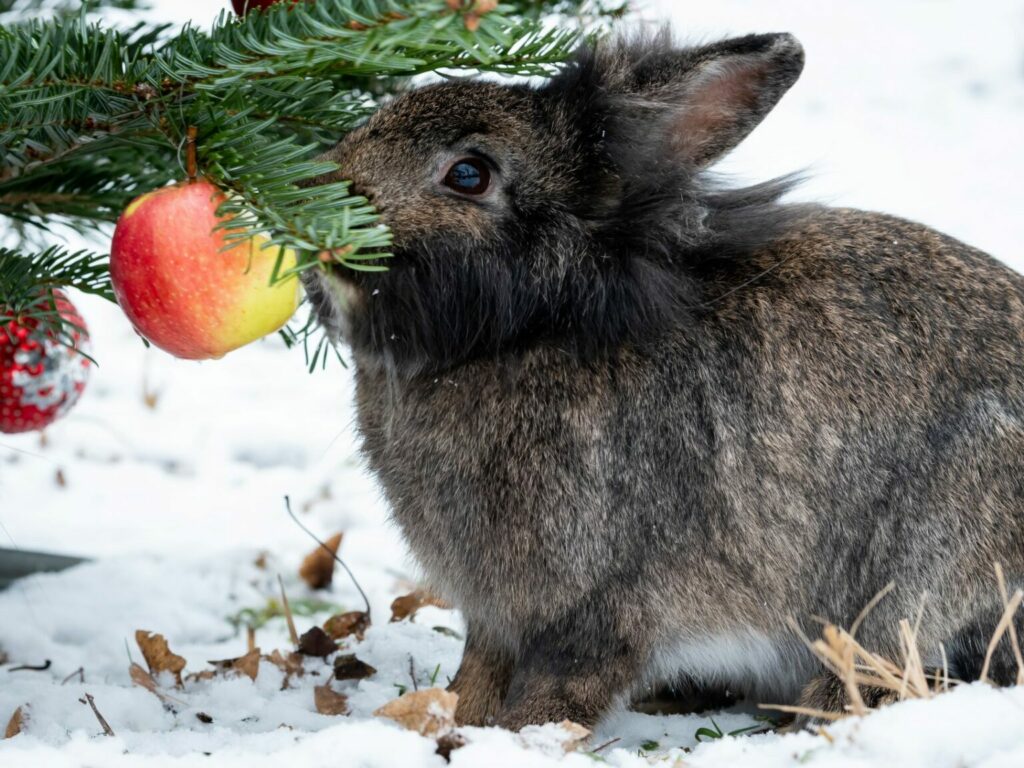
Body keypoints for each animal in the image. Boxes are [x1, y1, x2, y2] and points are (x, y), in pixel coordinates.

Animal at [299, 28, 1024, 729]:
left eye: (469, 174)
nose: (314, 214)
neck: (535, 327)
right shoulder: (498, 619)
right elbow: (477, 675)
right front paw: (448, 724)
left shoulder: (602, 605)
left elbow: (561, 688)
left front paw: (516, 736)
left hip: (931, 562)